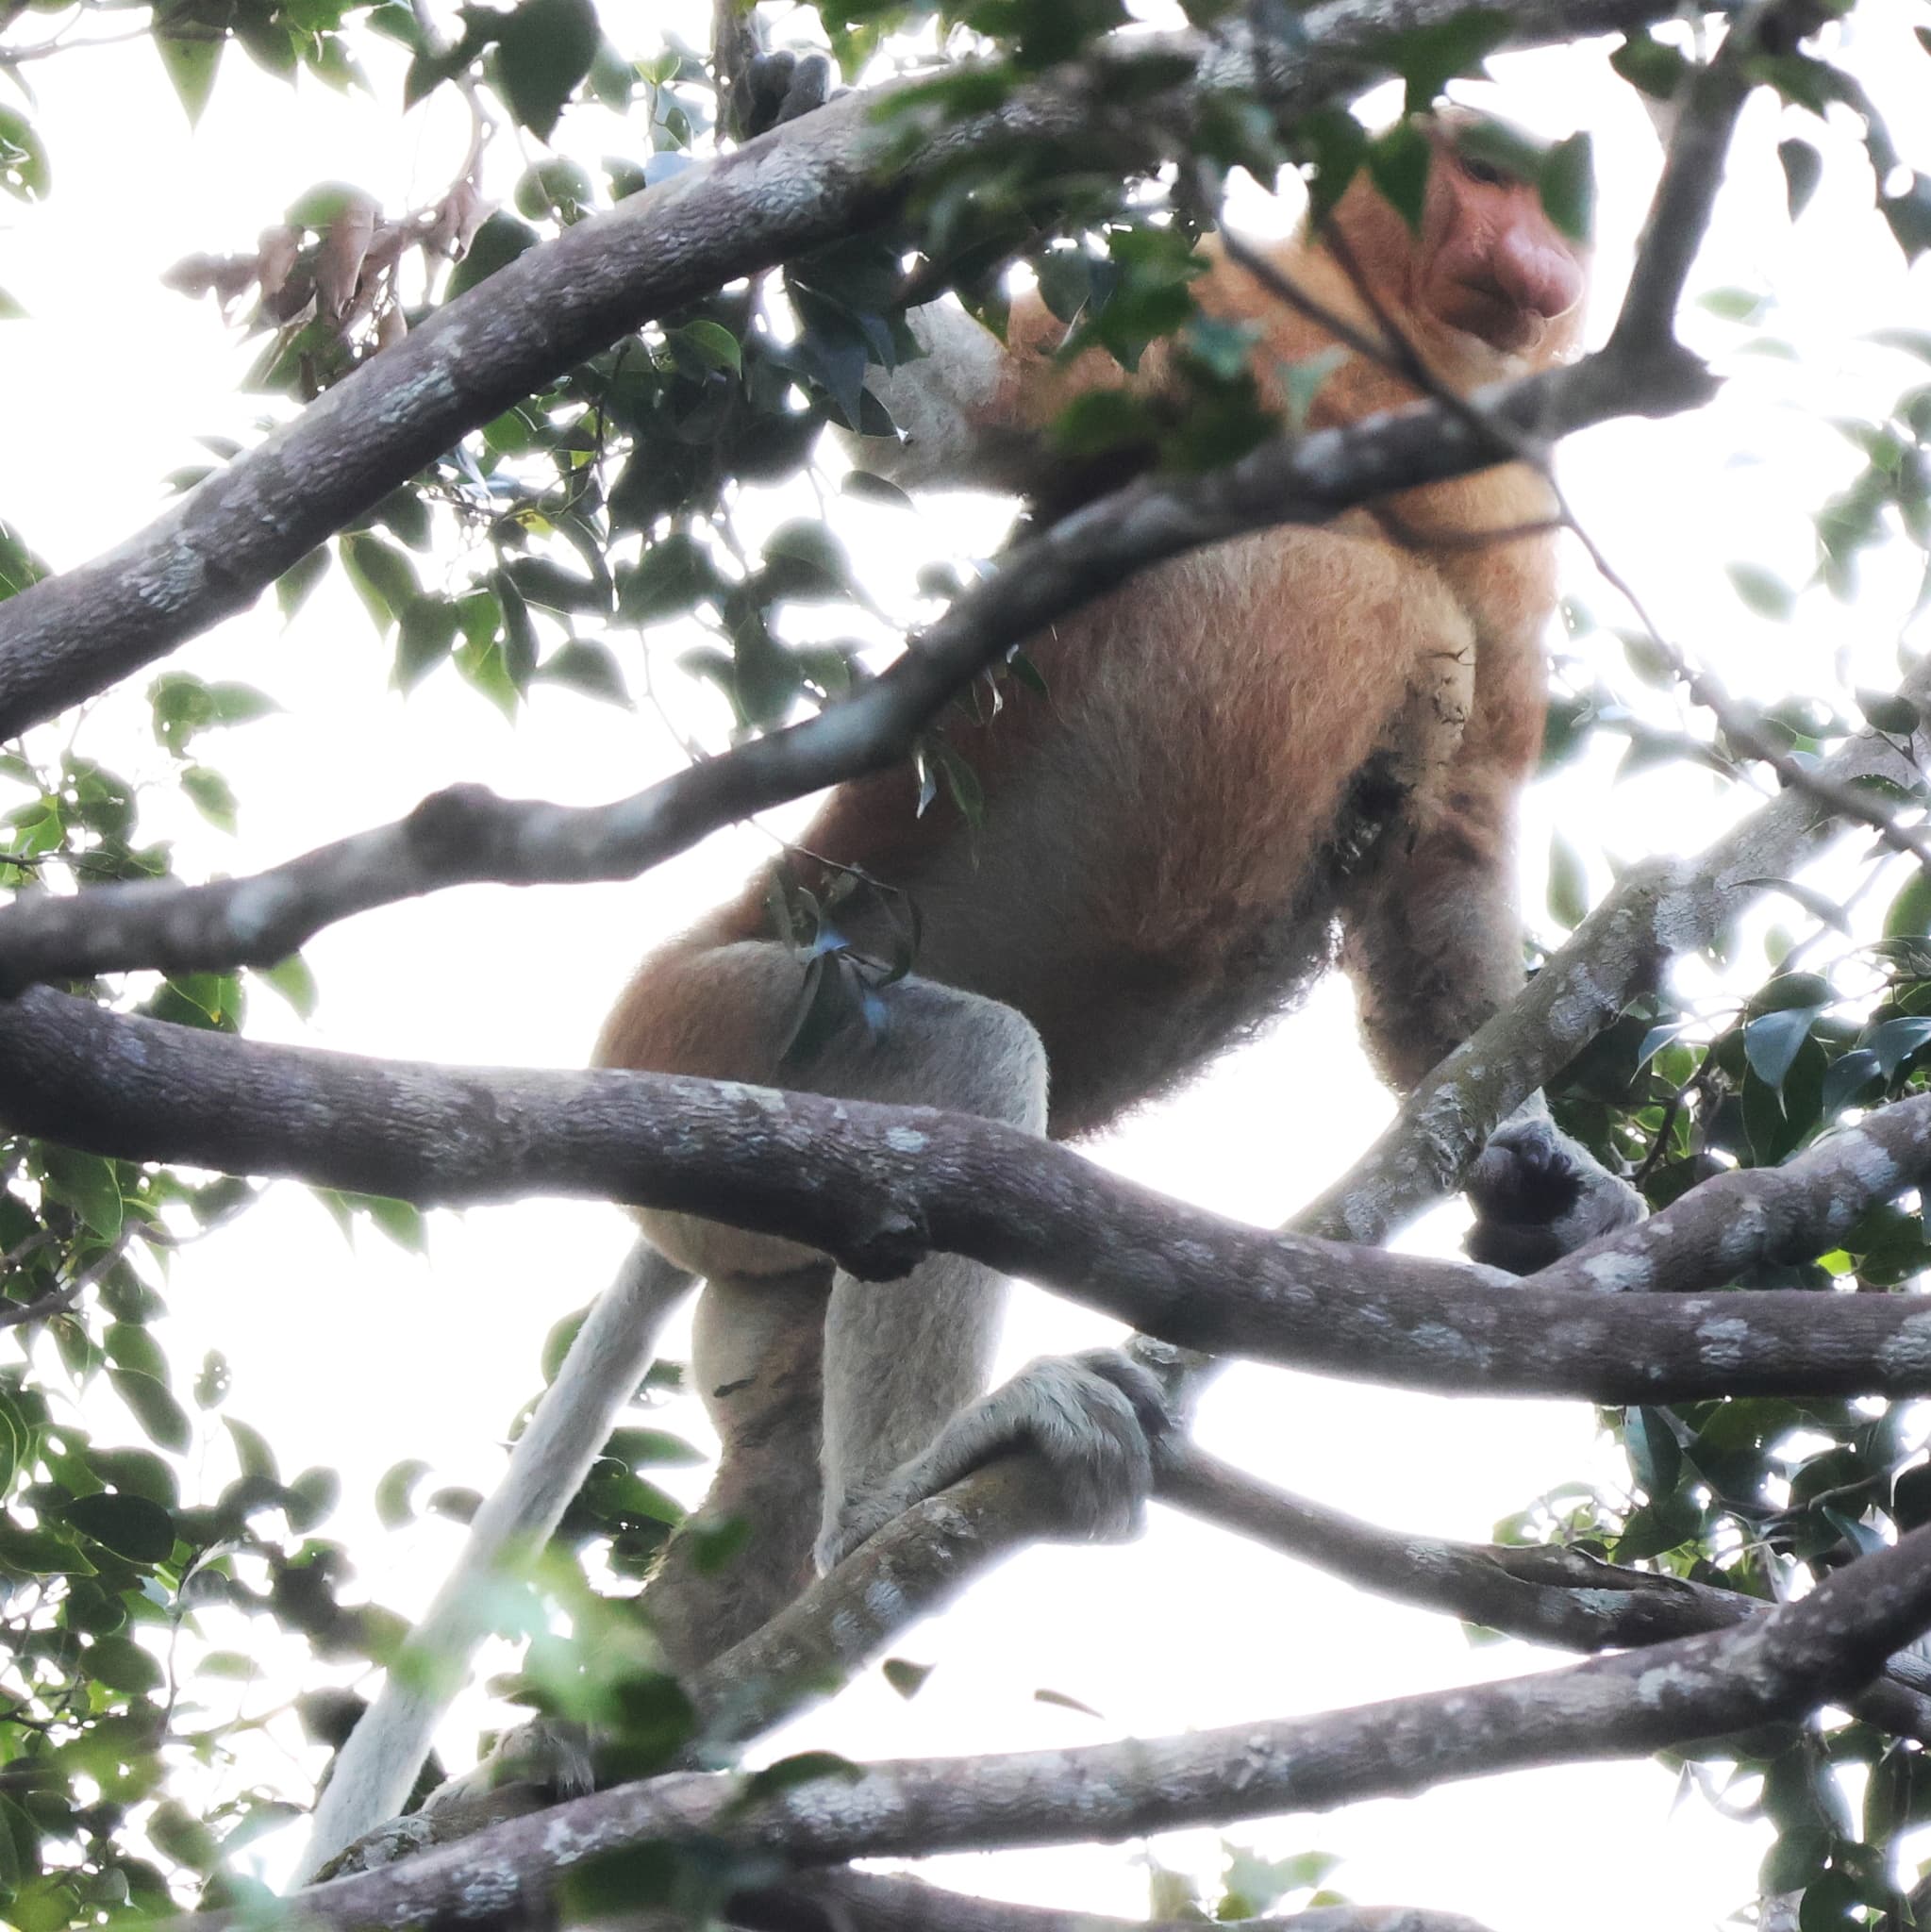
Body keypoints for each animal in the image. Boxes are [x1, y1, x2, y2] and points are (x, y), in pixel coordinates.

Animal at [303, 119, 1644, 1870]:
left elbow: (1452, 849)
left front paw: (1546, 1176)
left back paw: (574, 1756)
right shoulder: (1223, 308)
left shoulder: (1512, 505)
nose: (1539, 251)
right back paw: (911, 1486)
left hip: (749, 1245)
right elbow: (941, 413)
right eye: (1484, 168)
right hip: (721, 1016)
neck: (1397, 338)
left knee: (773, 1440)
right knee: (958, 1084)